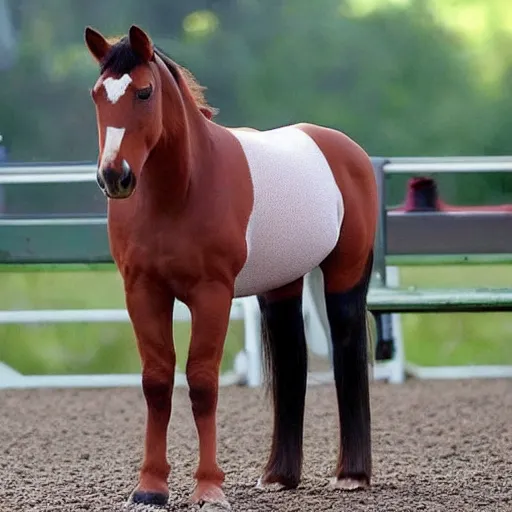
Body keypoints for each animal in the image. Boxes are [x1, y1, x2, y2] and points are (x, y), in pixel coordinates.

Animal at [85, 23, 380, 508]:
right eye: (97, 94)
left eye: (145, 92)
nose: (115, 177)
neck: (182, 189)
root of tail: (344, 149)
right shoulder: (143, 291)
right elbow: (157, 381)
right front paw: (150, 487)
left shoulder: (212, 294)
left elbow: (202, 382)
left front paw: (208, 487)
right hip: (282, 284)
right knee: (291, 360)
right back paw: (279, 475)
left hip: (345, 275)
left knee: (346, 349)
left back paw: (352, 474)